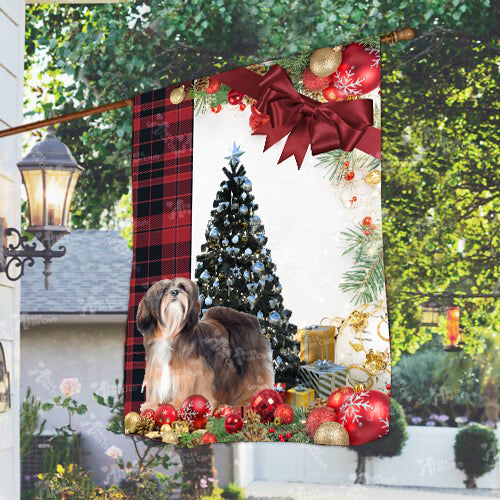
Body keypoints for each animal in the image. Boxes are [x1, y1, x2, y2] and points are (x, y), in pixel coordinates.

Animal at [136, 278, 274, 410]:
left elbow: (186, 386)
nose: (174, 292)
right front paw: (151, 405)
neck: (171, 331)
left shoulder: (192, 369)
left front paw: (178, 403)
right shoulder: (157, 365)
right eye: (165, 289)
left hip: (252, 365)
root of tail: (250, 319)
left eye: (182, 287)